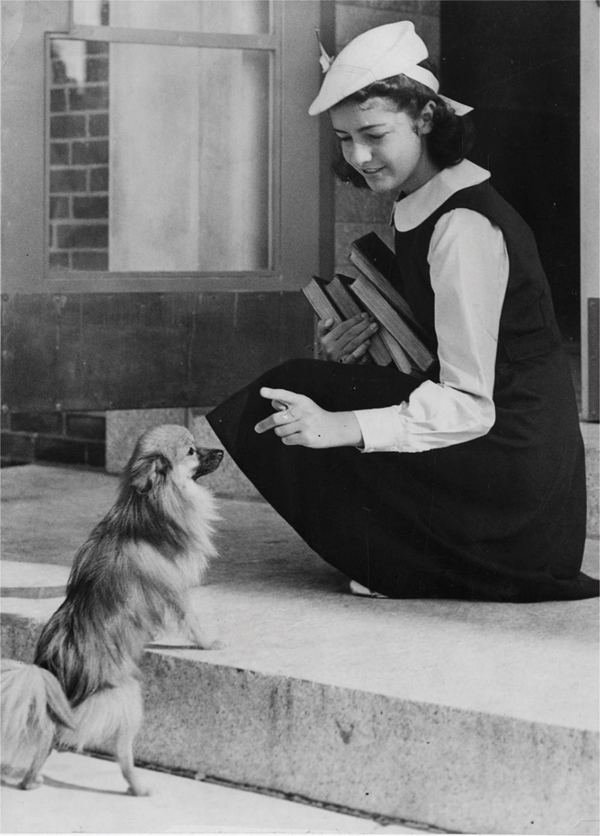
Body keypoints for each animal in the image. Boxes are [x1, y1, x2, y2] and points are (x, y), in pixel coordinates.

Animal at [1, 424, 224, 796]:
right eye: (192, 451)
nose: (221, 451)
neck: (149, 504)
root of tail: (55, 668)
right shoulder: (177, 592)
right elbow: (191, 622)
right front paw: (209, 643)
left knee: (48, 738)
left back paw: (32, 781)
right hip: (128, 695)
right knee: (120, 754)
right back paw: (138, 787)